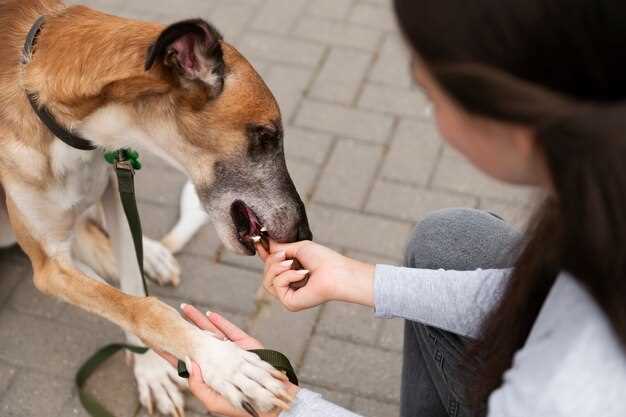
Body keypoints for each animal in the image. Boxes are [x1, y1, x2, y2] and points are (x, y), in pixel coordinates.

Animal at [0, 1, 312, 414]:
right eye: (266, 135)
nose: (304, 234)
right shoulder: (49, 265)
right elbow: (140, 306)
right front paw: (225, 364)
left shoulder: (113, 186)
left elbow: (134, 288)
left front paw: (151, 369)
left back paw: (153, 255)